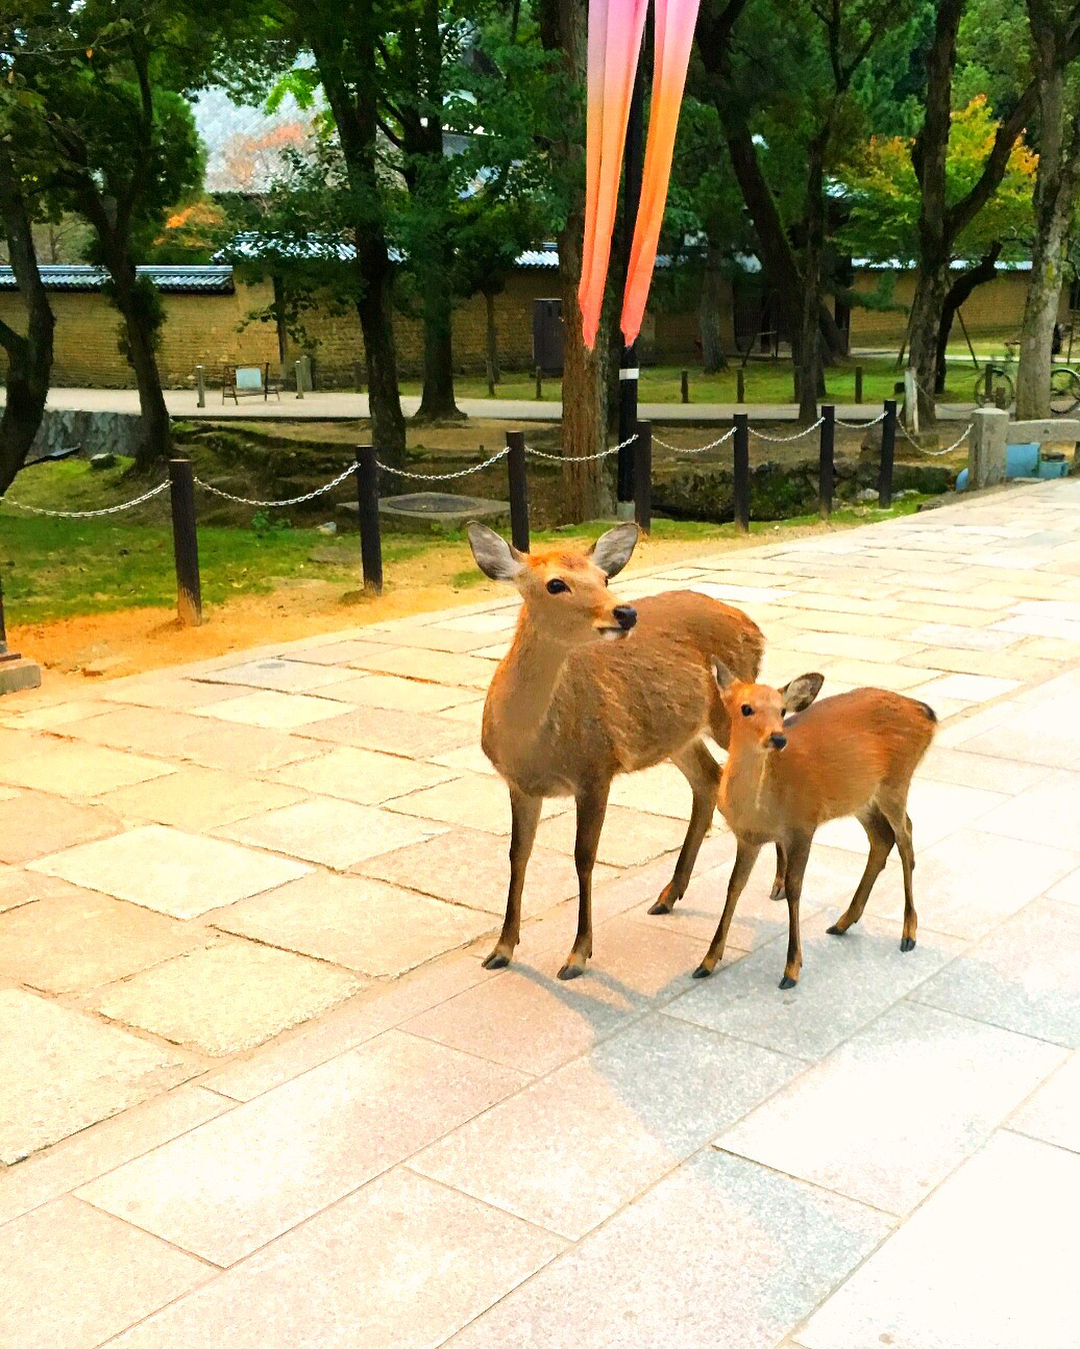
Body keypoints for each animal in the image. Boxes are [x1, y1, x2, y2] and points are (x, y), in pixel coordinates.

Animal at [466, 521, 765, 981]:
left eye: (603, 578)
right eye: (556, 583)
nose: (625, 613)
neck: (531, 742)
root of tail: (754, 627)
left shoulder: (596, 767)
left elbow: (584, 857)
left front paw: (577, 955)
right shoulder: (519, 784)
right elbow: (518, 854)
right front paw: (501, 949)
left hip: (729, 718)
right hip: (678, 734)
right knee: (708, 779)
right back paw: (668, 895)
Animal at [693, 663, 937, 989]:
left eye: (782, 710)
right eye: (746, 708)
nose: (778, 739)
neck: (761, 809)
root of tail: (927, 713)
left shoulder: (802, 825)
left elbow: (794, 889)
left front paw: (791, 969)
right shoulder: (748, 839)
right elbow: (734, 886)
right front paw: (706, 962)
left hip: (896, 781)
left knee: (906, 838)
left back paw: (908, 933)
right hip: (861, 798)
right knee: (882, 839)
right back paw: (843, 922)